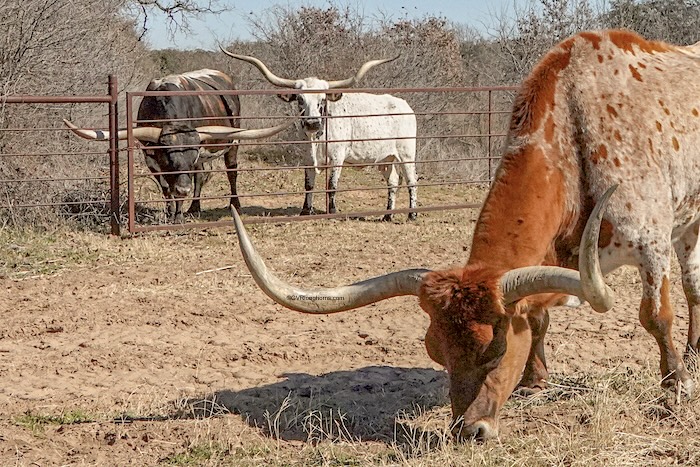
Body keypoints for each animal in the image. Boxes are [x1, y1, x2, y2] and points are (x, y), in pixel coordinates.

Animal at [67, 69, 290, 223]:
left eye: (189, 159)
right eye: (169, 158)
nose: (184, 189)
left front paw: (178, 215)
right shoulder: (151, 158)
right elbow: (167, 188)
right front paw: (170, 212)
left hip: (233, 142)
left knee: (231, 171)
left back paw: (234, 204)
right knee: (201, 176)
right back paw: (194, 207)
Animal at [220, 50, 416, 222]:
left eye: (322, 100)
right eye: (300, 99)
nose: (312, 123)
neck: (317, 138)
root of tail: (404, 105)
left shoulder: (337, 157)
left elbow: (332, 185)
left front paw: (333, 211)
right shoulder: (307, 157)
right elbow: (309, 184)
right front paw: (306, 211)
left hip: (406, 154)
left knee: (411, 181)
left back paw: (412, 214)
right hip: (386, 158)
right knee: (393, 182)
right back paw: (388, 215)